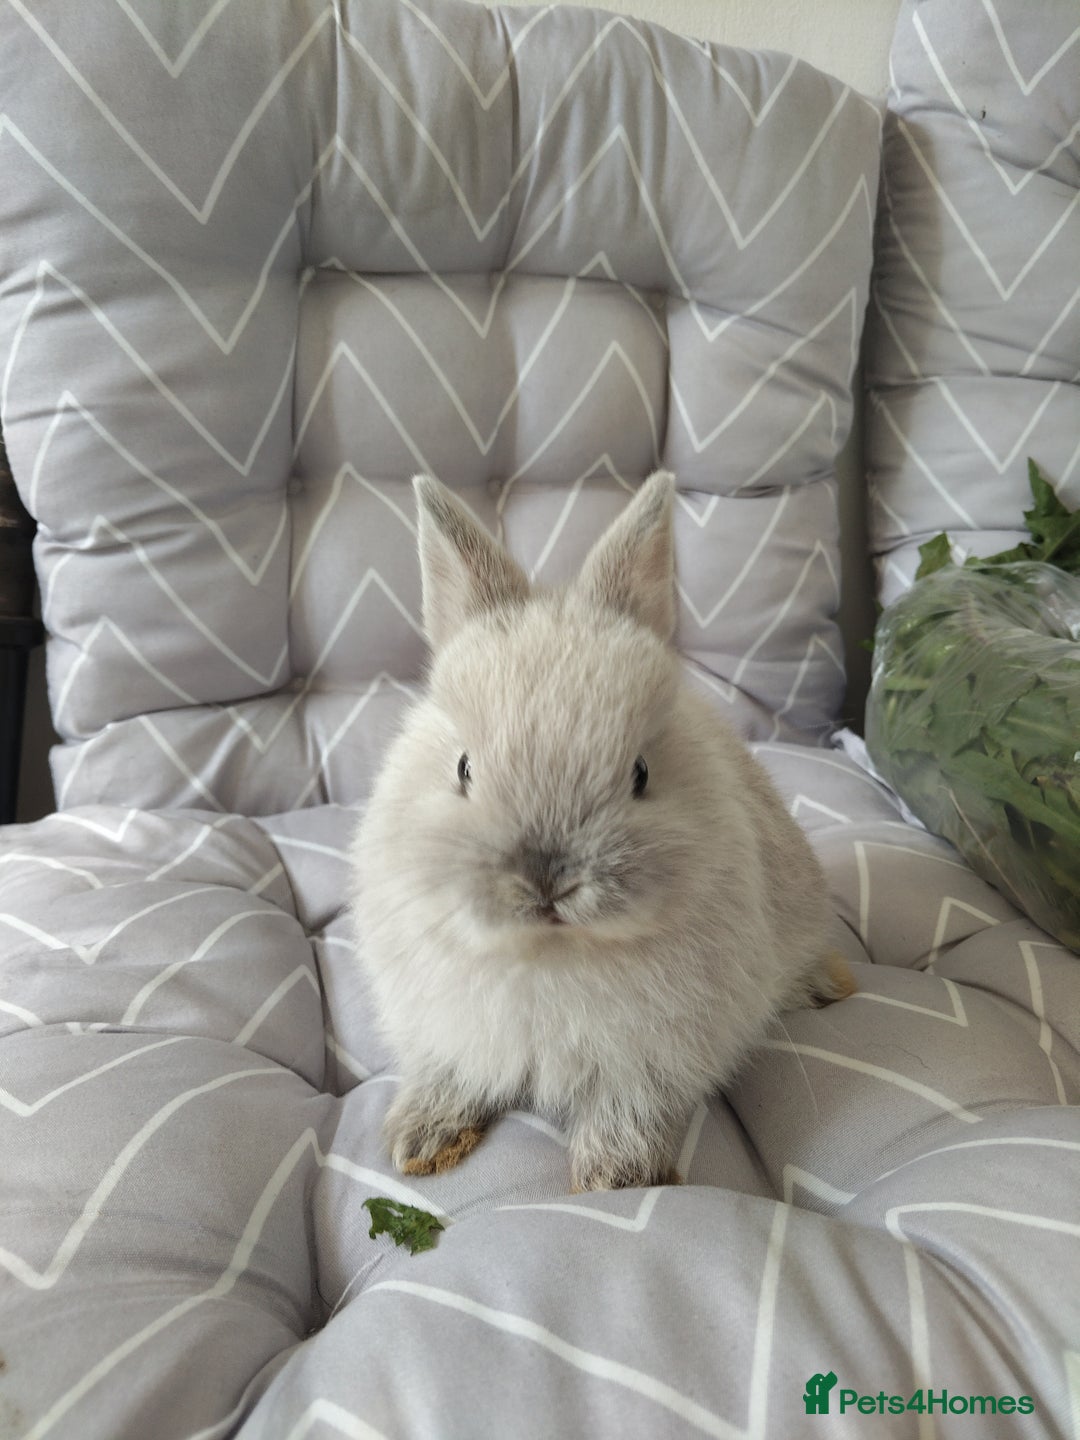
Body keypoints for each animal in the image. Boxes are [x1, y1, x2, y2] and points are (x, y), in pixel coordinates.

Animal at [350, 470, 855, 1192]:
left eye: (640, 773)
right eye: (464, 768)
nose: (546, 880)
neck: (549, 953)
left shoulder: (648, 1059)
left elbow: (626, 1109)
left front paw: (613, 1179)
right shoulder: (447, 1029)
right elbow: (451, 1074)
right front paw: (420, 1141)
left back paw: (831, 986)